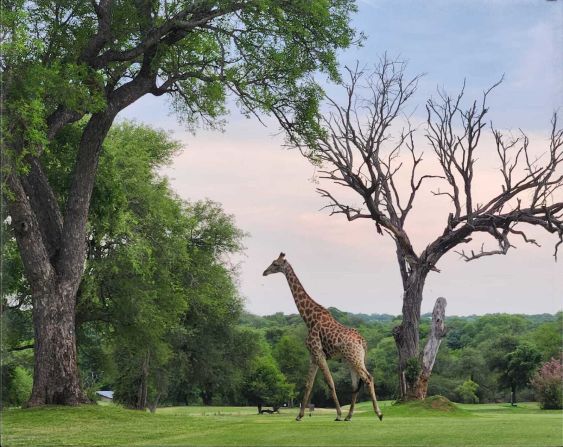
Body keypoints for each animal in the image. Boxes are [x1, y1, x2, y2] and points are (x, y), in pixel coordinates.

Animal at [264, 254, 384, 422]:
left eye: (275, 264)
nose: (264, 272)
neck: (309, 319)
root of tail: (363, 342)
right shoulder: (313, 356)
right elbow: (308, 384)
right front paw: (299, 415)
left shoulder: (318, 352)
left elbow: (330, 382)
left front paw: (338, 414)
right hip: (352, 359)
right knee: (355, 384)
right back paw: (349, 416)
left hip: (354, 357)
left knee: (368, 378)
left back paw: (378, 413)